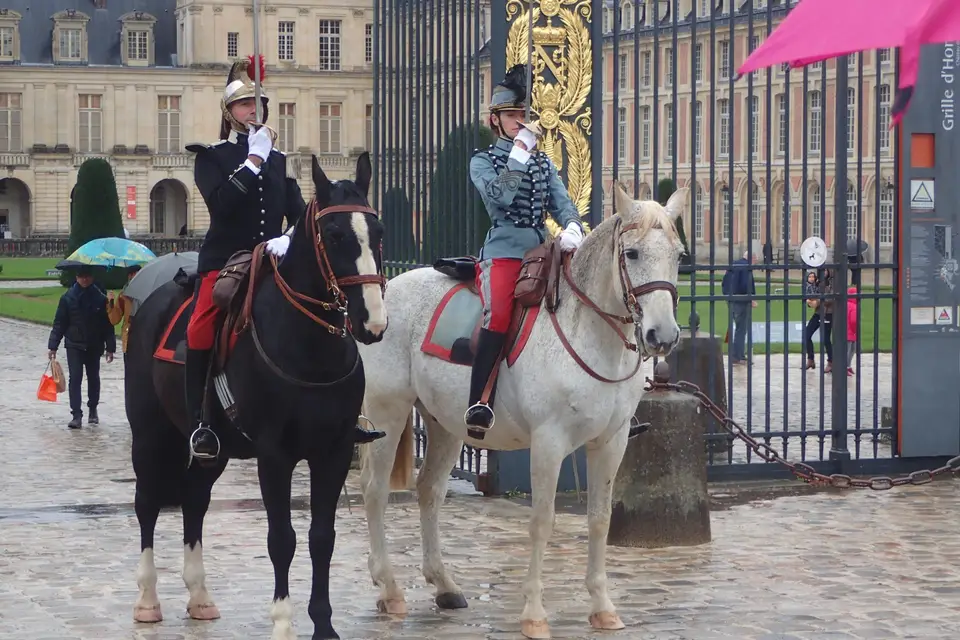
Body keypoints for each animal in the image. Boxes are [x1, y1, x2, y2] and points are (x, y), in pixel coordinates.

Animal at [124, 152, 387, 640]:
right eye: (335, 234)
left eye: (377, 231)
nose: (372, 322)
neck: (309, 346)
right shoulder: (274, 455)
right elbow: (282, 538)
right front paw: (282, 621)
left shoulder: (334, 451)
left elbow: (322, 537)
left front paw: (323, 623)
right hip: (150, 435)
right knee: (147, 503)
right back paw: (148, 599)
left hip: (212, 447)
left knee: (195, 499)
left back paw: (199, 596)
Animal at [358, 182, 687, 639]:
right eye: (633, 253)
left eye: (679, 256)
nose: (663, 336)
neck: (590, 334)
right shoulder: (548, 443)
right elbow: (542, 522)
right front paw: (533, 613)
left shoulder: (612, 442)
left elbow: (599, 520)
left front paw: (603, 607)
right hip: (388, 413)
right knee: (375, 491)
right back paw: (389, 588)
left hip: (446, 423)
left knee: (430, 492)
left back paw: (443, 584)